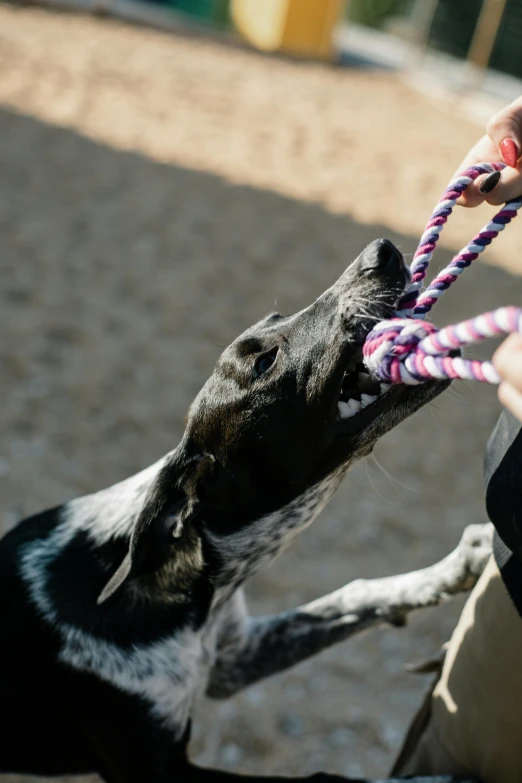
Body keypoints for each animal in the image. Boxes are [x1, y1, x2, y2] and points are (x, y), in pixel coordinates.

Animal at [0, 240, 484, 783]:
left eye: (278, 318)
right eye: (263, 363)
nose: (381, 250)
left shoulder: (234, 658)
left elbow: (355, 593)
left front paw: (458, 564)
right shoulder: (161, 771)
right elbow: (322, 778)